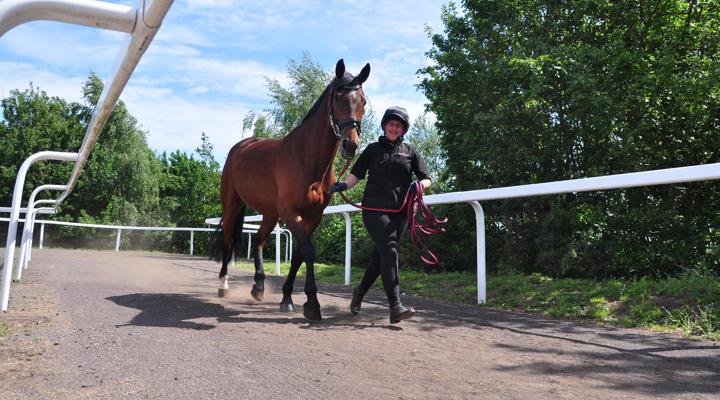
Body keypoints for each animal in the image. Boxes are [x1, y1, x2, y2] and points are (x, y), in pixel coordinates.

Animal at [210, 59, 370, 321]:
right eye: (338, 97)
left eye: (363, 101)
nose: (350, 145)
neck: (307, 160)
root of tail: (240, 147)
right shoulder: (290, 212)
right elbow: (308, 251)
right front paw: (312, 303)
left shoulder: (313, 217)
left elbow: (298, 256)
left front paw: (287, 298)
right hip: (232, 204)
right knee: (227, 242)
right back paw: (223, 286)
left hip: (269, 213)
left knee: (259, 241)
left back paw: (259, 286)